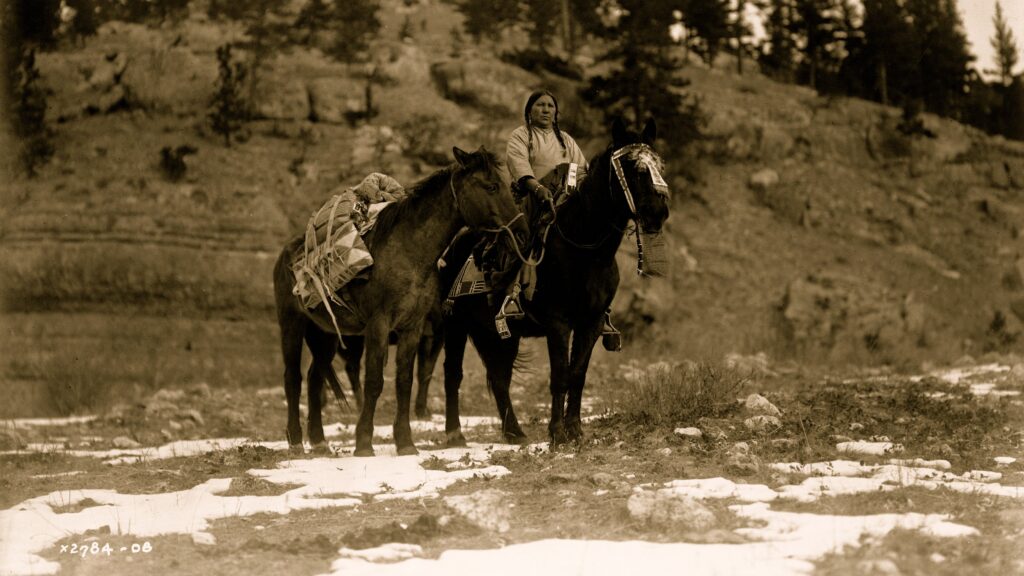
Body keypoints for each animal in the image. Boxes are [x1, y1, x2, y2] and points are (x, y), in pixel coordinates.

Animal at [274, 145, 528, 455]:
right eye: (492, 186)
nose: (523, 232)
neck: (407, 252)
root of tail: (288, 253)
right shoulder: (379, 325)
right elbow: (374, 381)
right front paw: (364, 443)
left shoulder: (412, 328)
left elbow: (404, 381)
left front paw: (405, 442)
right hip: (292, 324)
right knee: (293, 379)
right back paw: (296, 440)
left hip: (326, 333)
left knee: (314, 378)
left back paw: (320, 441)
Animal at [442, 117, 671, 444]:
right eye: (633, 167)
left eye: (659, 165)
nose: (657, 213)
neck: (585, 250)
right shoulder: (558, 323)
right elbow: (560, 375)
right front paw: (557, 433)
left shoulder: (591, 323)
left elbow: (577, 374)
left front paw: (575, 429)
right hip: (454, 324)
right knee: (453, 374)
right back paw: (455, 434)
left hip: (500, 331)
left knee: (500, 378)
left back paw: (515, 432)